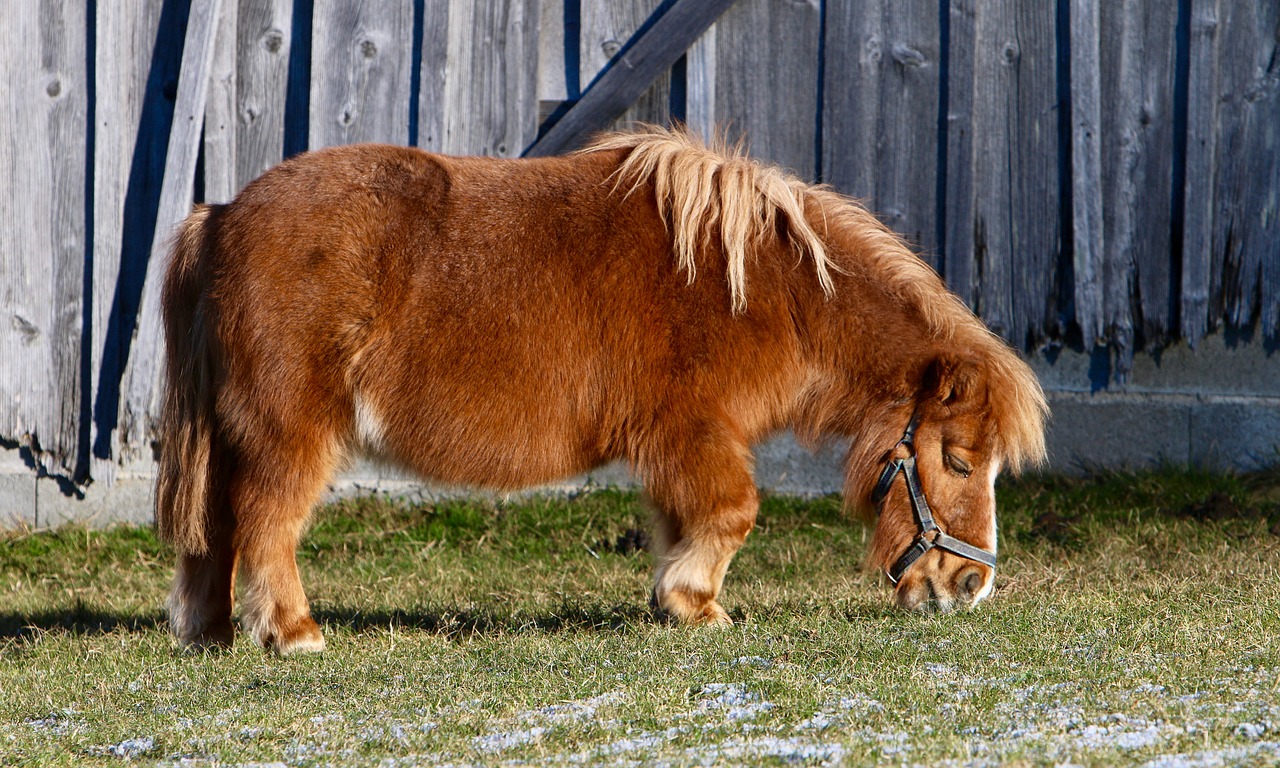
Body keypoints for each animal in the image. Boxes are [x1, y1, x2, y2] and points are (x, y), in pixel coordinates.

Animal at [154, 127, 1044, 652]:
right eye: (958, 463)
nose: (970, 588)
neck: (763, 285)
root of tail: (222, 215)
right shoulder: (693, 429)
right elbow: (734, 511)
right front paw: (694, 600)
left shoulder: (674, 446)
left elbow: (683, 520)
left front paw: (679, 598)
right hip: (290, 433)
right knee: (265, 520)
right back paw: (293, 632)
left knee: (215, 530)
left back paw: (209, 632)